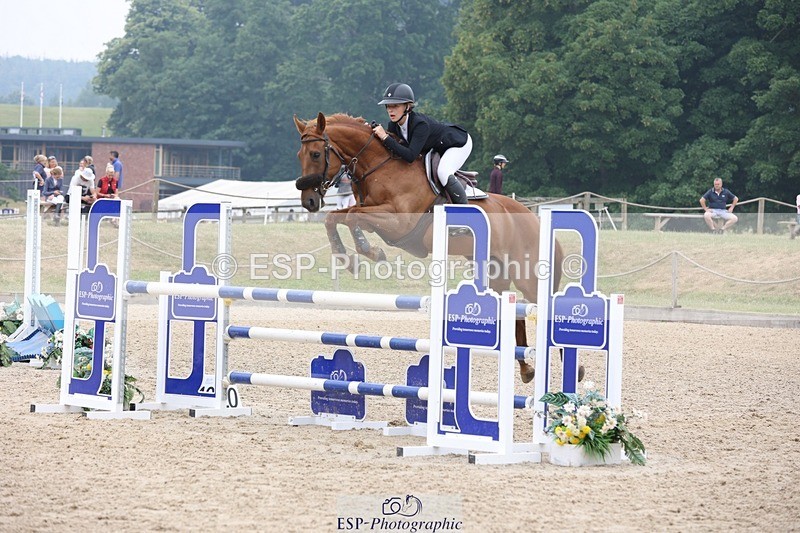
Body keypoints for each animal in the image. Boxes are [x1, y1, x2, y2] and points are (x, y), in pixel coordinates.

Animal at [294, 112, 564, 383]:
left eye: (315, 154)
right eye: (299, 155)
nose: (309, 201)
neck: (381, 166)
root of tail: (534, 218)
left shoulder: (398, 223)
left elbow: (351, 218)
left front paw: (370, 252)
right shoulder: (371, 215)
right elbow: (336, 218)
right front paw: (348, 259)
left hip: (527, 277)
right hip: (497, 273)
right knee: (516, 312)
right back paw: (526, 369)